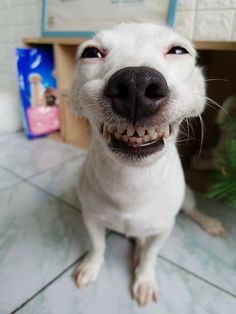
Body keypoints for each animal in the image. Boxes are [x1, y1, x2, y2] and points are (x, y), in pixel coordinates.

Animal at [71, 23, 225, 306]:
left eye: (179, 50)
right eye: (90, 53)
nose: (135, 83)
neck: (133, 179)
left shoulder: (164, 228)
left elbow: (151, 256)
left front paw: (144, 278)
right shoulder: (92, 218)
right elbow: (98, 245)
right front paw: (91, 266)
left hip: (185, 199)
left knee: (191, 210)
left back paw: (208, 222)